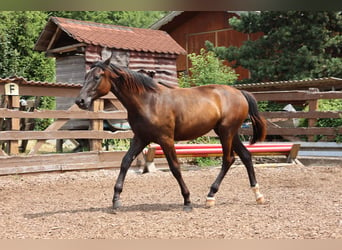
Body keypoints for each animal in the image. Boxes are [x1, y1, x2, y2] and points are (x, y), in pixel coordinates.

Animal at [75, 57, 268, 211]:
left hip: (226, 132)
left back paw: (210, 196)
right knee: (246, 156)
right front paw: (116, 200)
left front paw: (187, 200)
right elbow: (125, 162)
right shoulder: (141, 138)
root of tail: (240, 93)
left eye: (97, 77)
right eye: (85, 77)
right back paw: (258, 195)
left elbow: (175, 167)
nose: (80, 101)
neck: (147, 101)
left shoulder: (165, 139)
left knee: (228, 159)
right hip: (229, 133)